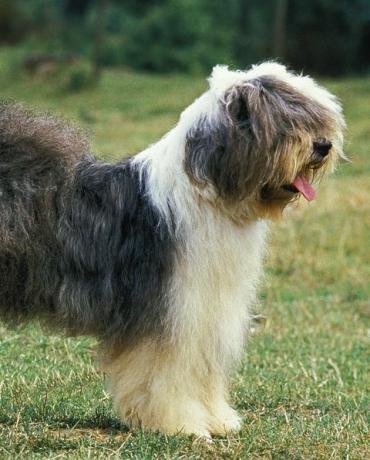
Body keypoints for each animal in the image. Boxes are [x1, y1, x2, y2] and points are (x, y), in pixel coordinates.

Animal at [0, 63, 344, 436]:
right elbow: (166, 373)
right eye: (282, 123)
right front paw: (182, 424)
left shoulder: (209, 313)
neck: (208, 196)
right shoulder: (171, 311)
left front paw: (218, 420)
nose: (323, 145)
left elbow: (204, 371)